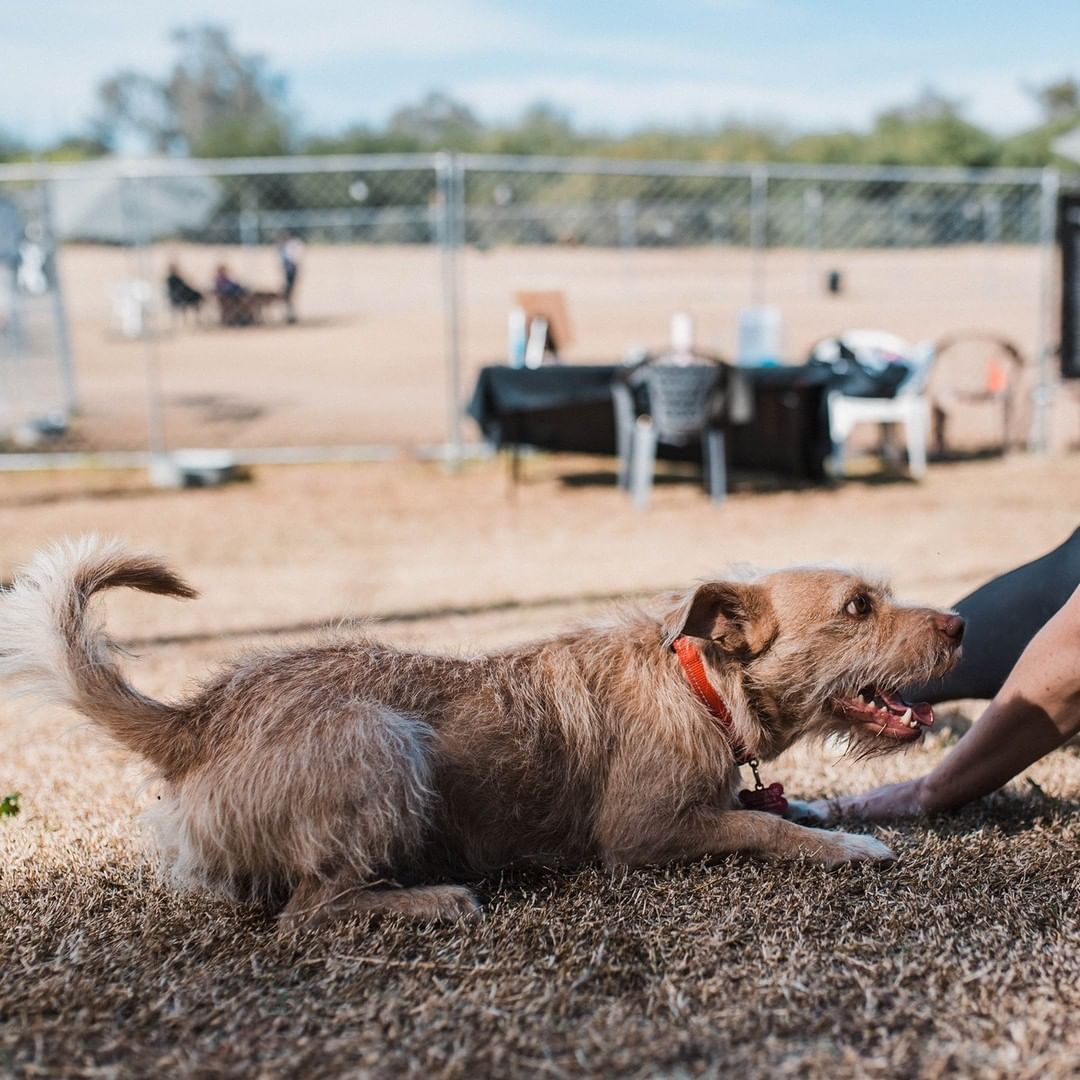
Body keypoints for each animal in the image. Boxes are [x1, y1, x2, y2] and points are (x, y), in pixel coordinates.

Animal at [0, 537, 963, 928]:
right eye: (859, 607)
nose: (959, 624)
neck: (700, 686)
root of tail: (198, 720)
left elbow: (782, 809)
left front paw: (831, 816)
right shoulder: (645, 835)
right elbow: (764, 828)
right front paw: (848, 846)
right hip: (379, 737)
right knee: (308, 914)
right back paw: (429, 900)